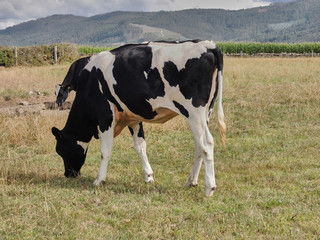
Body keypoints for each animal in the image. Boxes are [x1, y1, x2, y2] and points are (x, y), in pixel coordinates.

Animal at [51, 39, 226, 197]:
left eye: (60, 150)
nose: (69, 174)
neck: (88, 82)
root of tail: (208, 45)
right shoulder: (133, 118)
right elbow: (140, 146)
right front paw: (148, 176)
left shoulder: (106, 117)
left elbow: (105, 151)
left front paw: (99, 180)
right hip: (205, 113)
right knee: (198, 146)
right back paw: (191, 181)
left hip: (194, 112)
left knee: (207, 143)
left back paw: (209, 188)